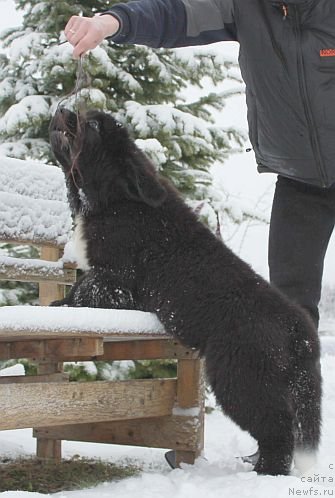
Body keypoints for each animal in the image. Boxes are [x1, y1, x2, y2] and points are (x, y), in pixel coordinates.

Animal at [50, 108, 322, 474]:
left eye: (91, 125)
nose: (64, 110)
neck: (113, 201)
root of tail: (300, 331)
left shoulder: (115, 279)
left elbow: (84, 289)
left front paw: (58, 305)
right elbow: (80, 285)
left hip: (242, 376)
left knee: (277, 427)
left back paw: (266, 472)